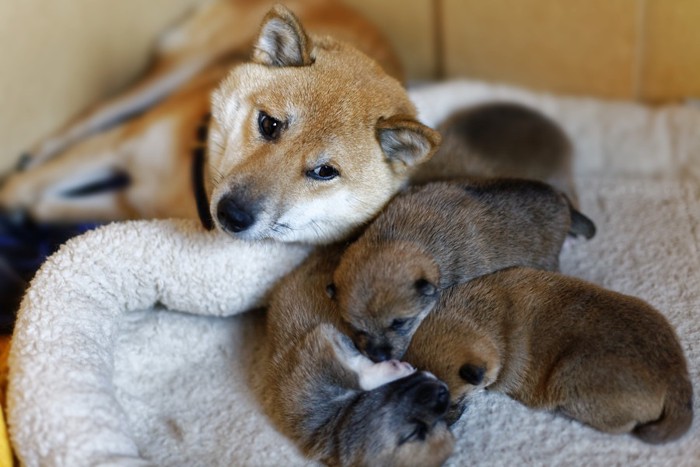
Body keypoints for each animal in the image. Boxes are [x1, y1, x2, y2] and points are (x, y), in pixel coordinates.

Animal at [0, 1, 438, 245]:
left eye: (325, 172)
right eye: (270, 125)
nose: (234, 216)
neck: (188, 185)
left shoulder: (131, 202)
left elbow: (43, 206)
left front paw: (29, 213)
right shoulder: (116, 147)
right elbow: (23, 187)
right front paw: (12, 195)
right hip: (178, 69)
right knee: (96, 113)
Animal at [262, 247, 454, 466]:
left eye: (444, 426)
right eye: (415, 433)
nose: (444, 390)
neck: (338, 418)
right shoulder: (317, 351)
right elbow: (359, 374)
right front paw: (394, 368)